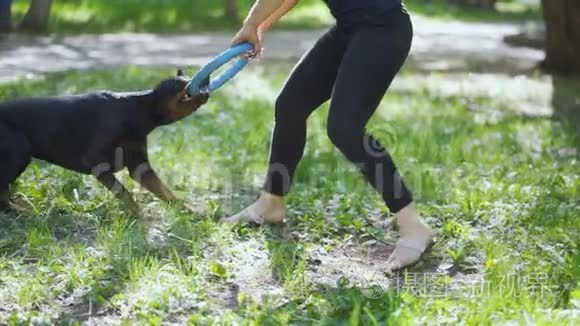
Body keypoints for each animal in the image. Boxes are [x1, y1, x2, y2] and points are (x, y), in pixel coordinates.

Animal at [0, 69, 208, 213]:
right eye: (181, 83)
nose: (205, 81)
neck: (137, 111)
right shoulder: (96, 162)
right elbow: (124, 193)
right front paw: (140, 218)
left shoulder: (139, 166)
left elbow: (165, 191)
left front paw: (191, 211)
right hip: (19, 152)